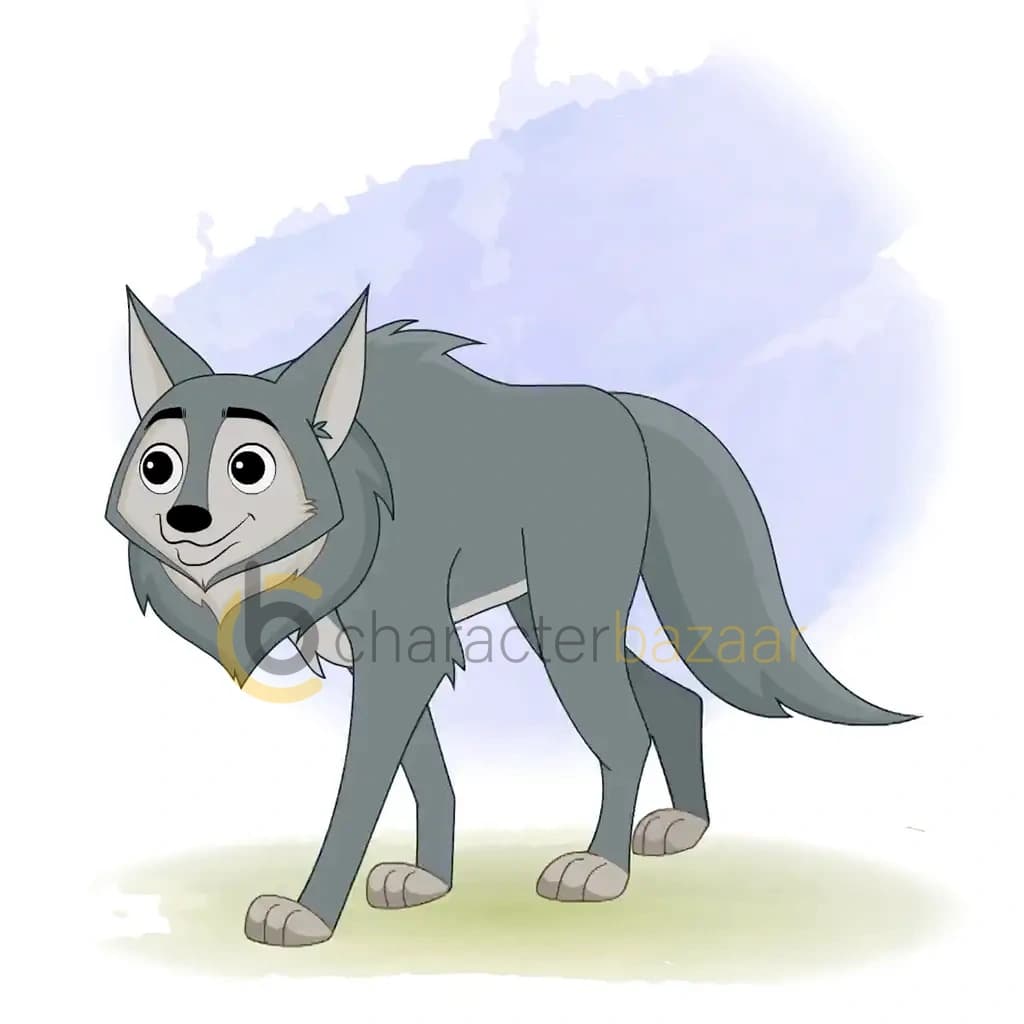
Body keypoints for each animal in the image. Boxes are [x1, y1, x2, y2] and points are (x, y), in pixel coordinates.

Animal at [106, 286, 915, 947]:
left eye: (249, 466)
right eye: (158, 465)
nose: (186, 518)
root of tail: (622, 404)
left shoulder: (401, 659)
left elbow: (358, 795)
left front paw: (309, 914)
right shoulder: (391, 659)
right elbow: (428, 778)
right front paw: (429, 881)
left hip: (567, 623)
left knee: (625, 734)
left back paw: (601, 868)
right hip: (548, 616)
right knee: (673, 698)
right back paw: (683, 827)